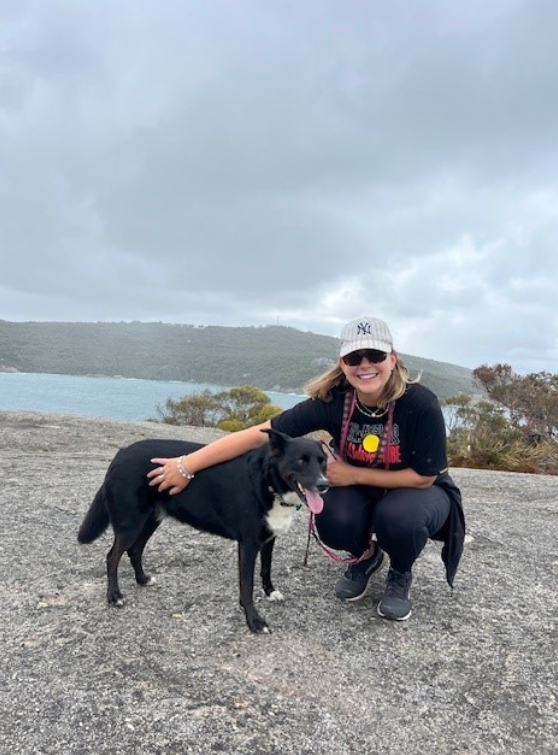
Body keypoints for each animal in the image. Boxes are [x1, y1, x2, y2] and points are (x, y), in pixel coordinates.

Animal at [77, 432, 328, 632]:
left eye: (323, 461)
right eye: (301, 461)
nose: (324, 484)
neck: (267, 481)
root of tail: (120, 454)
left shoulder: (268, 539)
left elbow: (266, 569)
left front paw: (270, 592)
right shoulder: (248, 544)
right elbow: (246, 586)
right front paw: (254, 621)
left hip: (150, 520)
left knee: (135, 550)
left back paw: (142, 579)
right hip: (130, 523)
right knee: (112, 557)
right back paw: (114, 596)